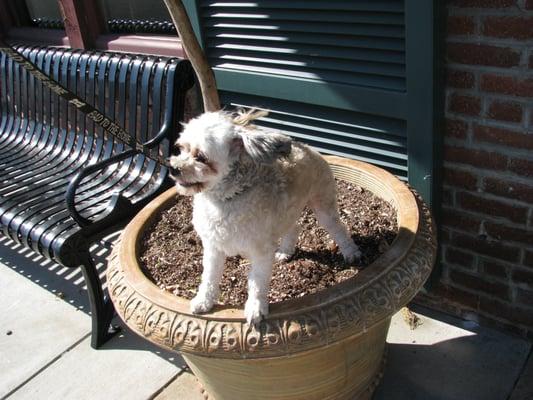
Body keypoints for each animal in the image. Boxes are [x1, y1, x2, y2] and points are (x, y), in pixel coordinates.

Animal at [169, 109, 362, 324]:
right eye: (181, 149)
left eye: (201, 157)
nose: (173, 168)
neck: (226, 198)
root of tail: (309, 147)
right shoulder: (213, 247)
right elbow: (209, 277)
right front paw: (204, 300)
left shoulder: (260, 251)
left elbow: (257, 282)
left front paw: (255, 307)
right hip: (288, 212)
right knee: (295, 227)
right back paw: (286, 251)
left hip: (323, 205)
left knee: (338, 228)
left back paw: (351, 252)